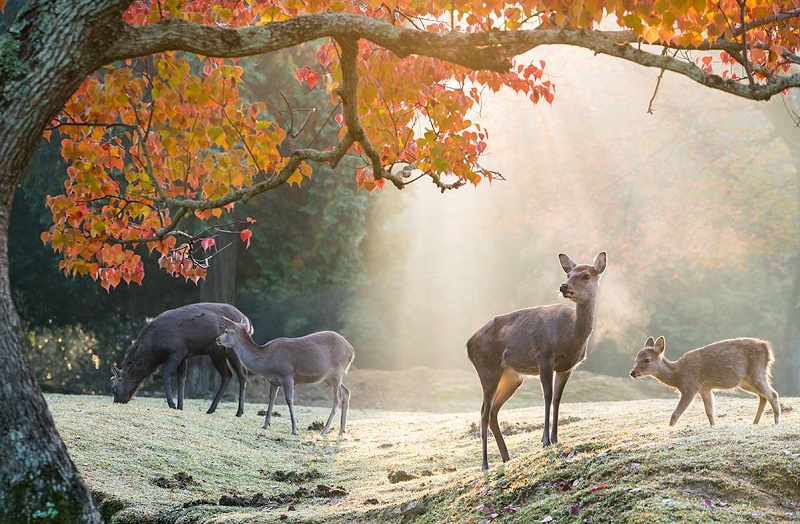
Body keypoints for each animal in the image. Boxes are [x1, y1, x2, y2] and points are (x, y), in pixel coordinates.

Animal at [111, 302, 250, 418]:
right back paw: (211, 409)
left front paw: (172, 404)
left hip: (233, 349)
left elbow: (166, 373)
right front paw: (180, 406)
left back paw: (239, 412)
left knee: (242, 374)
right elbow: (182, 378)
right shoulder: (184, 355)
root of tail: (248, 323)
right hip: (216, 352)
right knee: (227, 374)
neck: (155, 348)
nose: (117, 402)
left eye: (113, 388)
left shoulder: (177, 351)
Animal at [216, 318, 354, 436]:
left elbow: (289, 399)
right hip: (328, 378)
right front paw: (265, 424)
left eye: (226, 331)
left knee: (338, 398)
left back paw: (324, 431)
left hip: (336, 372)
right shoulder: (273, 381)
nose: (217, 339)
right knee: (346, 392)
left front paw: (295, 429)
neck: (266, 364)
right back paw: (342, 430)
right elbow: (271, 398)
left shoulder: (287, 375)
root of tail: (352, 351)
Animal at [468, 251, 608, 470]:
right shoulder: (544, 357)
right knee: (484, 411)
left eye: (586, 275)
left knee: (492, 411)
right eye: (568, 274)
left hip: (512, 377)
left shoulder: (566, 367)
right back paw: (485, 464)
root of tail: (468, 345)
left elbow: (558, 398)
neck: (570, 338)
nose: (563, 286)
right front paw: (545, 440)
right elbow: (548, 396)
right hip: (487, 368)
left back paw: (506, 457)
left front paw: (556, 438)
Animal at [628, 338, 780, 428]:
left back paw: (776, 422)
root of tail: (768, 349)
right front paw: (713, 426)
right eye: (636, 358)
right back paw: (755, 423)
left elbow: (675, 414)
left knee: (773, 394)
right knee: (763, 396)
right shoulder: (705, 389)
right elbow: (709, 412)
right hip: (746, 382)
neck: (678, 376)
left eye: (647, 359)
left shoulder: (691, 387)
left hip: (756, 374)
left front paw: (669, 428)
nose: (632, 372)